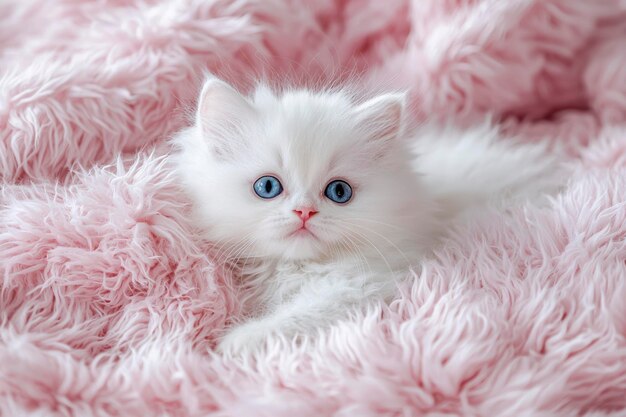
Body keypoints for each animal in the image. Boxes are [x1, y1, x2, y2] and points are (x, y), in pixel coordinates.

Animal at [171, 75, 560, 354]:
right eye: (267, 187)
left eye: (338, 192)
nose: (304, 212)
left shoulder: (363, 286)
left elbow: (296, 317)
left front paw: (238, 341)